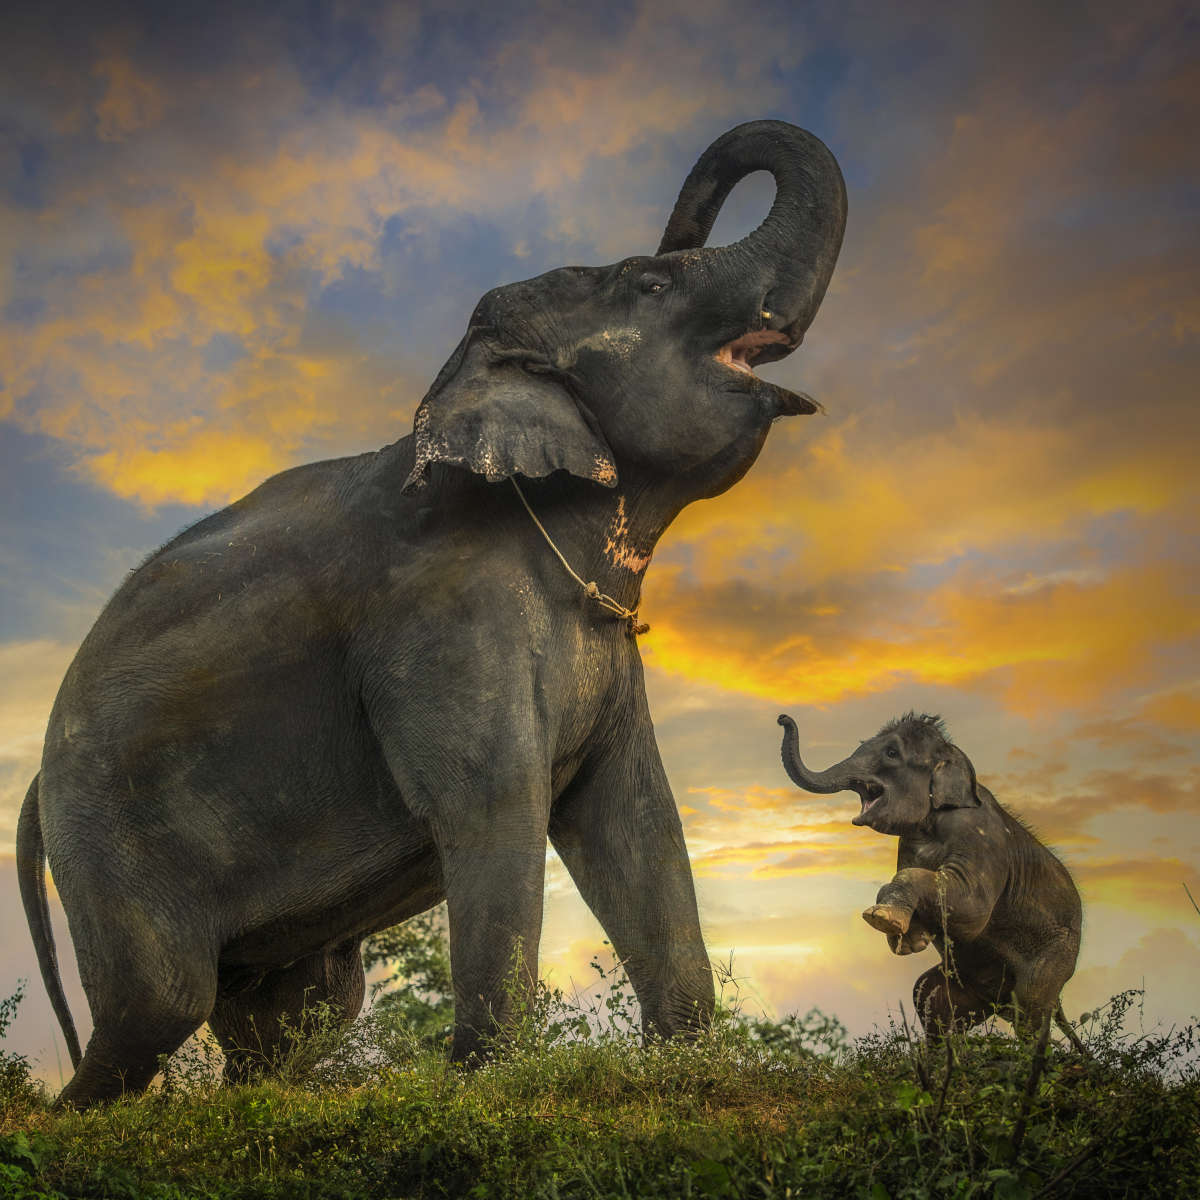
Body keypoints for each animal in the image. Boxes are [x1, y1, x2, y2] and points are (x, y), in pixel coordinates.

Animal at [17, 119, 847, 1107]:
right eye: (650, 283)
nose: (682, 219)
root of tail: (31, 788)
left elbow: (637, 820)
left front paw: (691, 1071)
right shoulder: (444, 621)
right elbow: (495, 801)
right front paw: (489, 1086)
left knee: (294, 1013)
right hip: (108, 836)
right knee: (157, 1004)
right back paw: (73, 1115)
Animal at [778, 713, 1083, 1043]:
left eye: (891, 753)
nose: (782, 718)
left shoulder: (980, 835)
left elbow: (973, 908)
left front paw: (882, 920)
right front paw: (907, 938)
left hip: (1055, 956)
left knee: (1030, 1011)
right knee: (928, 999)